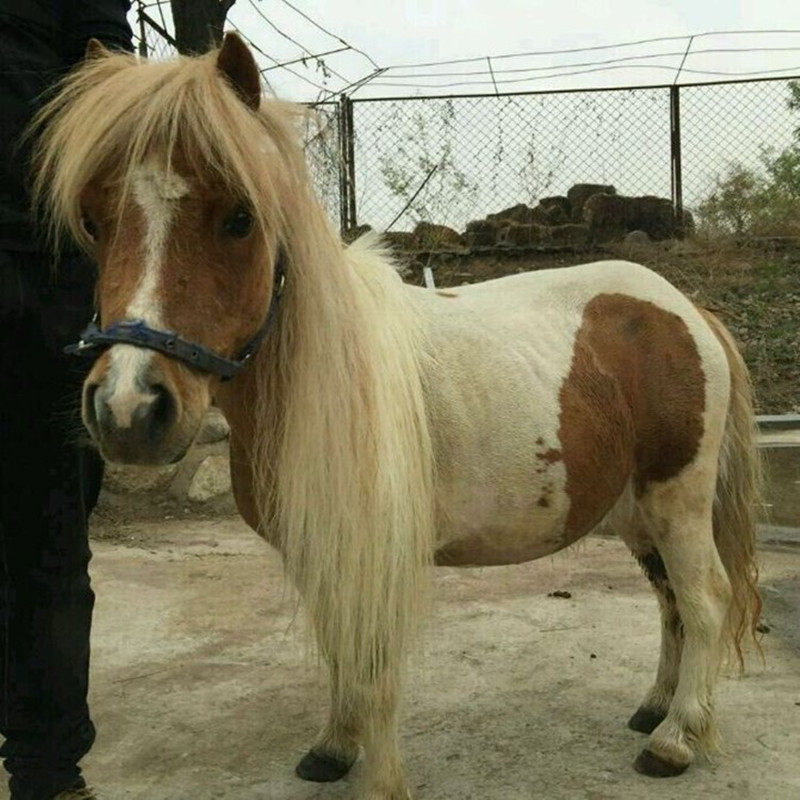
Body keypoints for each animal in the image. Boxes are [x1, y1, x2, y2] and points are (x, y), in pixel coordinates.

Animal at [31, 33, 762, 799]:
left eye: (239, 218)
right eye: (94, 221)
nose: (129, 409)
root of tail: (686, 310)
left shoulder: (375, 552)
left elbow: (375, 668)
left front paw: (375, 775)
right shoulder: (321, 550)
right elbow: (341, 652)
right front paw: (333, 746)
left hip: (678, 501)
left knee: (705, 599)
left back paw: (675, 739)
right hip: (637, 512)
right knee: (671, 602)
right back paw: (655, 710)